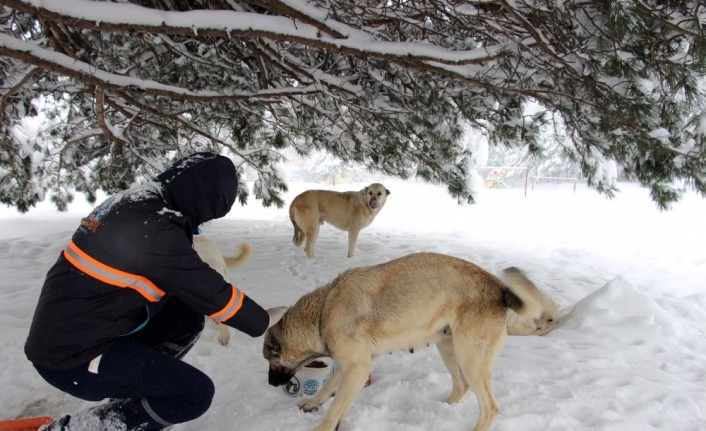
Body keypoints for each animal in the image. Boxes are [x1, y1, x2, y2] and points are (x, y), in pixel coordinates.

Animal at [262, 253, 540, 431]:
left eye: (270, 359)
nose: (270, 383)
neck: (322, 312)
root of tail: (499, 286)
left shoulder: (358, 368)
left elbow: (336, 407)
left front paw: (323, 427)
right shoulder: (352, 365)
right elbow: (330, 385)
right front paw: (313, 403)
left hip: (470, 358)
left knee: (489, 407)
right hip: (448, 348)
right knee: (461, 387)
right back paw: (441, 409)